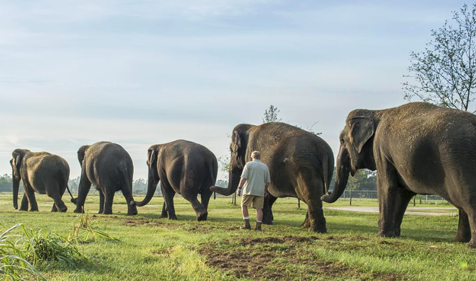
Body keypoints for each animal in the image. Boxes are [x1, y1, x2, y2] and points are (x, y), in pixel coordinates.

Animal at [320, 101, 476, 246]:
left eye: (342, 140)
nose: (325, 194)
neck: (375, 112)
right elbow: (403, 193)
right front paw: (394, 234)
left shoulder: (381, 150)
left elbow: (386, 186)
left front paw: (382, 235)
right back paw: (460, 241)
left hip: (459, 160)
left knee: (467, 198)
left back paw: (470, 245)